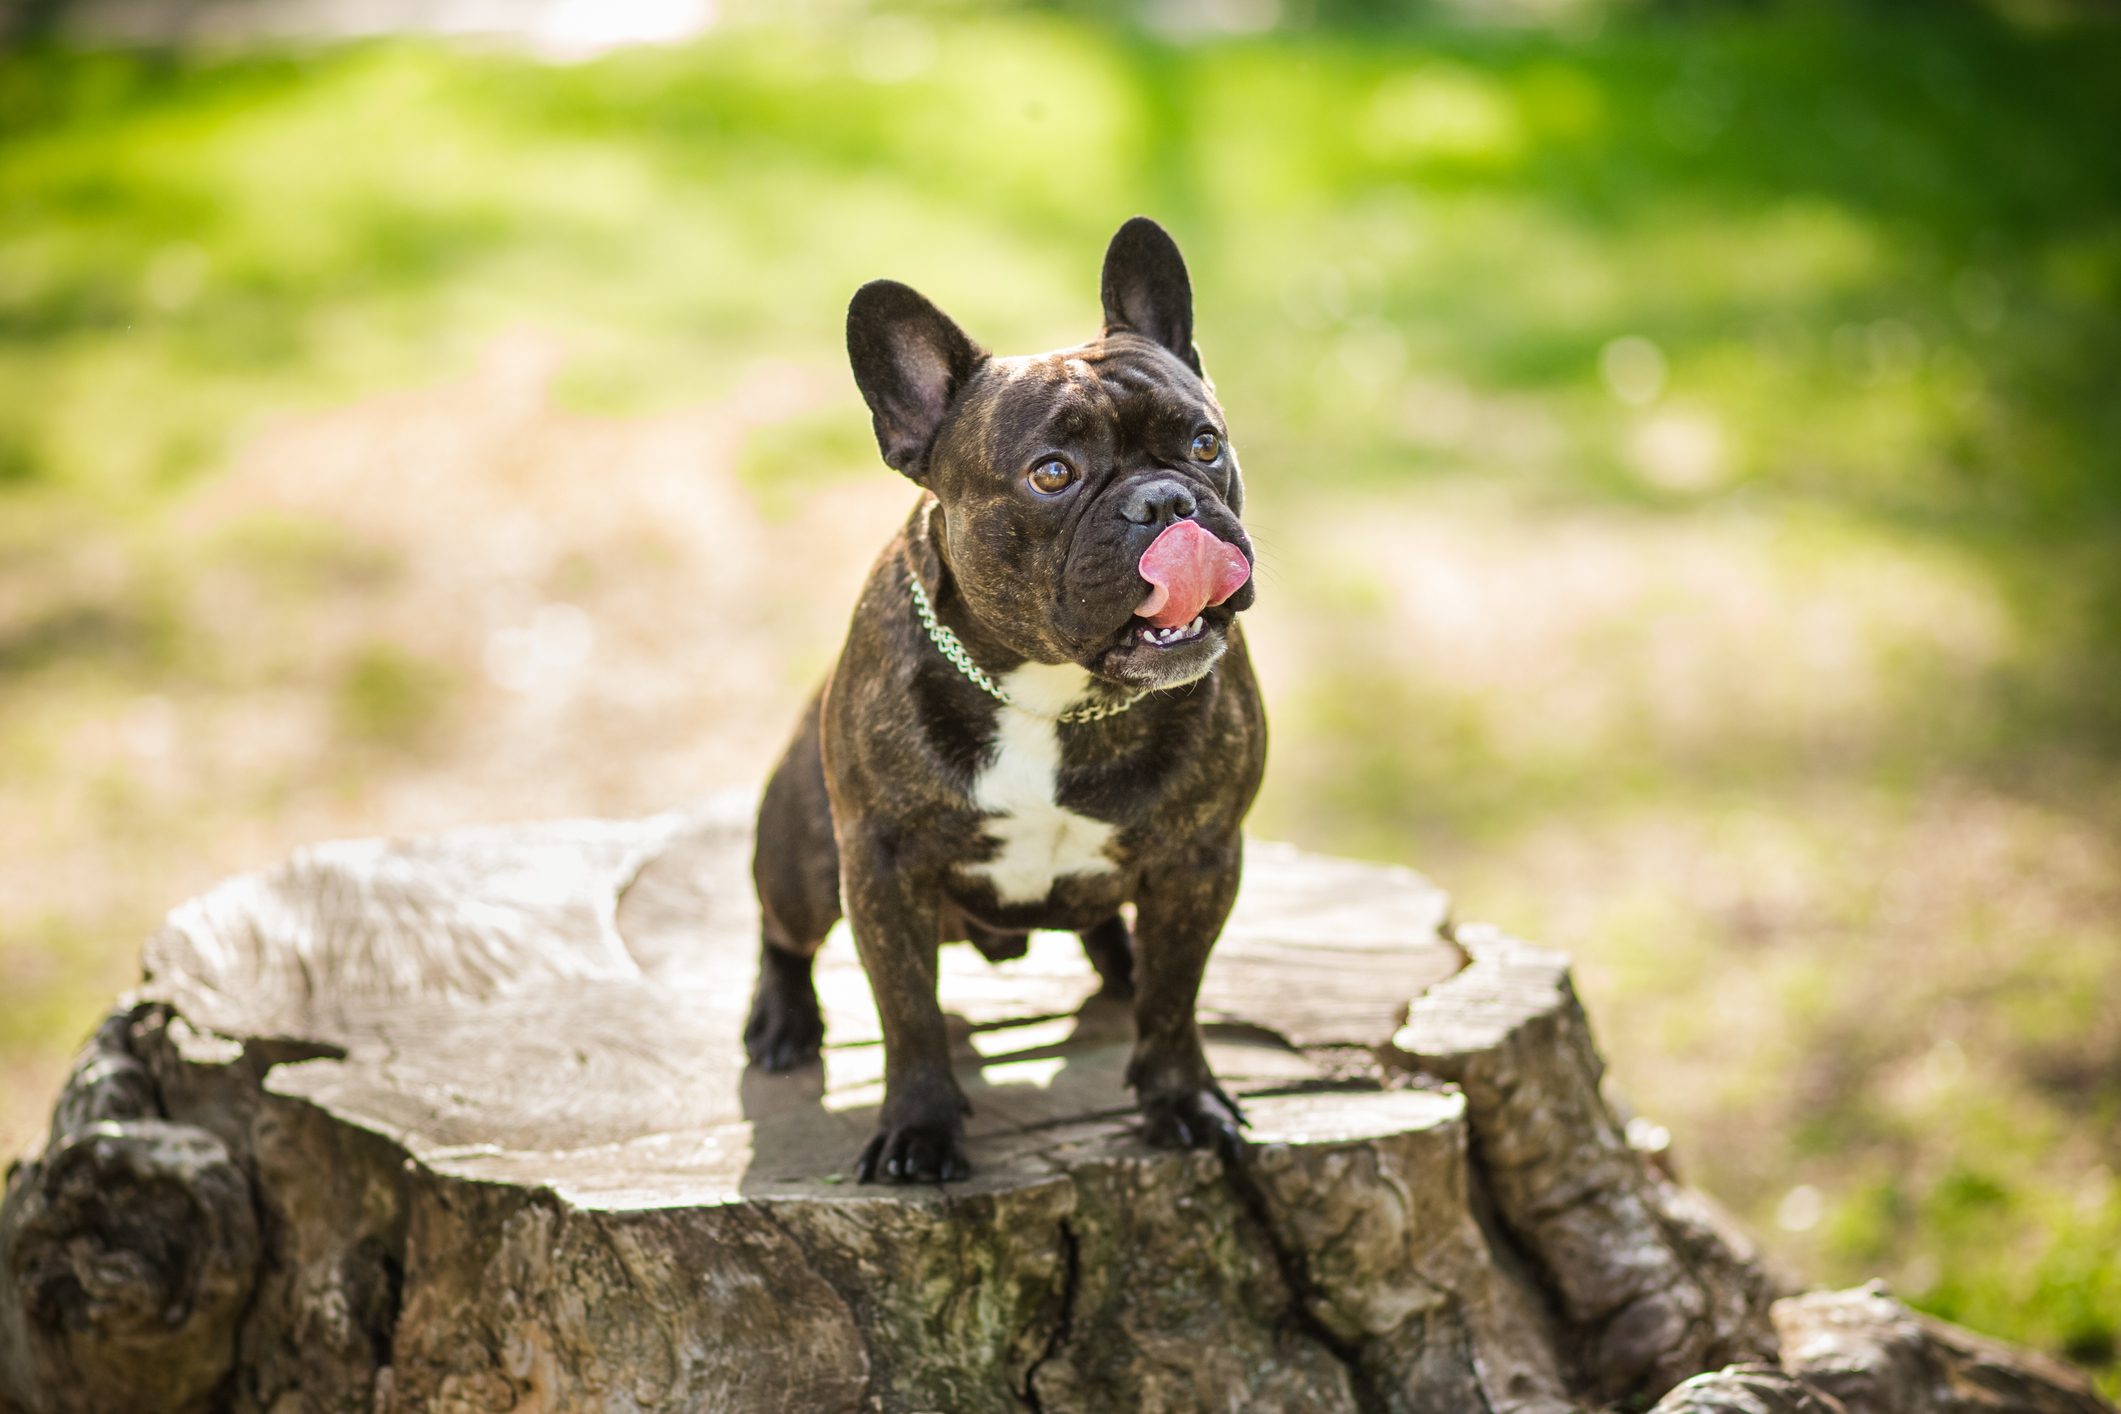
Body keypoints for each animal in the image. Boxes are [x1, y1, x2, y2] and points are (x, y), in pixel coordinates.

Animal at [750, 218, 1255, 1187]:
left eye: (1205, 444)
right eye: (1051, 474)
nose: (1164, 500)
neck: (1052, 695)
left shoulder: (1200, 860)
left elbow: (1176, 1000)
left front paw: (1183, 1099)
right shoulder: (882, 867)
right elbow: (907, 1016)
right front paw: (917, 1130)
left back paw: (1121, 960)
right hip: (803, 852)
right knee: (782, 931)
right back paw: (781, 1019)